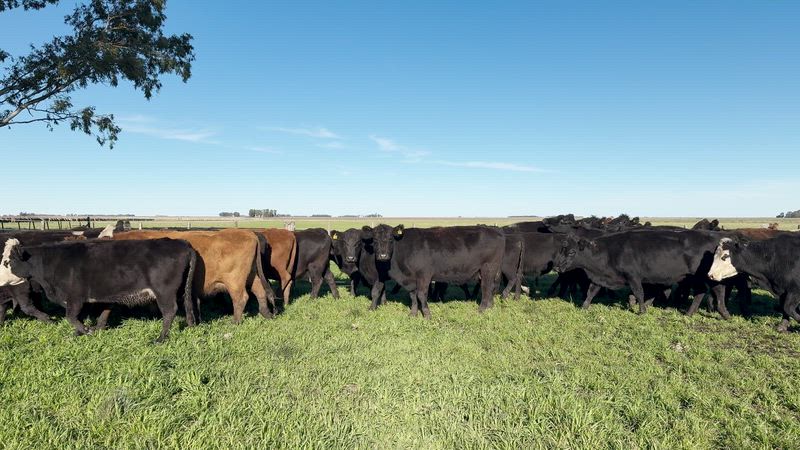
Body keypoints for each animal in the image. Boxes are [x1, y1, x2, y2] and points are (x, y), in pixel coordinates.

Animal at [7, 238, 196, 342]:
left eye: (7, 261)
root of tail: (181, 242)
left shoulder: (75, 298)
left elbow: (71, 317)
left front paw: (87, 331)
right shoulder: (104, 296)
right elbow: (100, 313)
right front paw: (89, 331)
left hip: (164, 292)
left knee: (169, 311)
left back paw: (160, 338)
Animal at [113, 229, 275, 324]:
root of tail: (250, 233)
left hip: (234, 280)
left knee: (240, 298)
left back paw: (235, 322)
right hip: (251, 275)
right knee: (260, 290)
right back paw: (266, 313)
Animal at [365, 225, 505, 319]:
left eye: (390, 239)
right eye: (375, 240)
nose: (382, 256)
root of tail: (495, 230)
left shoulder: (424, 275)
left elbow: (421, 295)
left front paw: (427, 314)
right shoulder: (410, 278)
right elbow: (413, 296)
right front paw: (413, 313)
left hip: (488, 268)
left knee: (486, 288)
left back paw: (481, 310)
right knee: (491, 288)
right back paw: (490, 307)